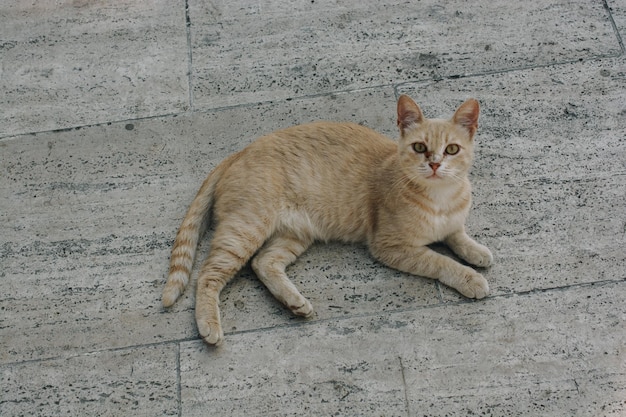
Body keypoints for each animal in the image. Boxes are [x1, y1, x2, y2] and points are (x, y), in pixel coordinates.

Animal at [162, 95, 492, 344]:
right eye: (419, 147)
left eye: (452, 149)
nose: (435, 164)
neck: (440, 199)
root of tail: (240, 151)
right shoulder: (390, 246)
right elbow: (440, 261)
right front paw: (470, 278)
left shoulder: (451, 225)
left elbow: (458, 236)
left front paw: (477, 252)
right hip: (245, 229)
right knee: (208, 274)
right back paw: (209, 325)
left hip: (294, 235)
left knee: (263, 262)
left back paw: (294, 303)